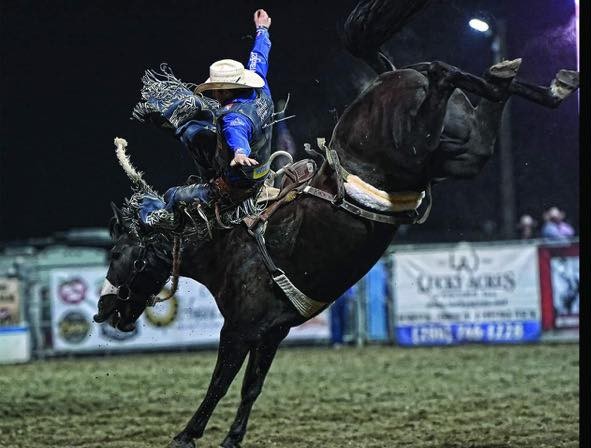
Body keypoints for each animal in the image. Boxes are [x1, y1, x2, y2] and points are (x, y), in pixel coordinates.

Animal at [95, 1, 580, 446]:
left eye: (118, 253)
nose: (103, 311)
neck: (228, 244)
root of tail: (394, 74)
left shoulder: (239, 329)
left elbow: (219, 384)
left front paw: (186, 435)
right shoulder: (272, 330)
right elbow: (251, 388)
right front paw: (232, 438)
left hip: (410, 146)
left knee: (444, 74)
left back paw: (506, 76)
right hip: (454, 153)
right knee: (479, 112)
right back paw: (532, 81)